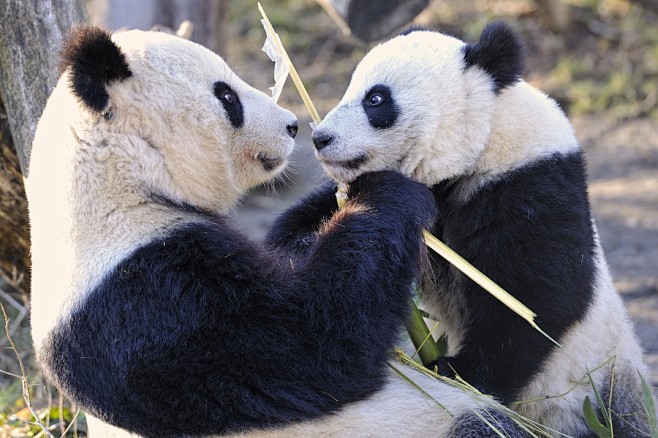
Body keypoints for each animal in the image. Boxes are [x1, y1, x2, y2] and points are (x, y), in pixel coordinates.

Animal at [26, 24, 528, 438]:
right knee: (482, 426)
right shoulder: (150, 303)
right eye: (226, 96)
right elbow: (318, 341)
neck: (121, 183)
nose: (291, 125)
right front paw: (388, 191)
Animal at [310, 21, 652, 438]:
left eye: (375, 99)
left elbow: (536, 300)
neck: (487, 135)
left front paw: (458, 373)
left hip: (598, 393)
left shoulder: (529, 184)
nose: (320, 138)